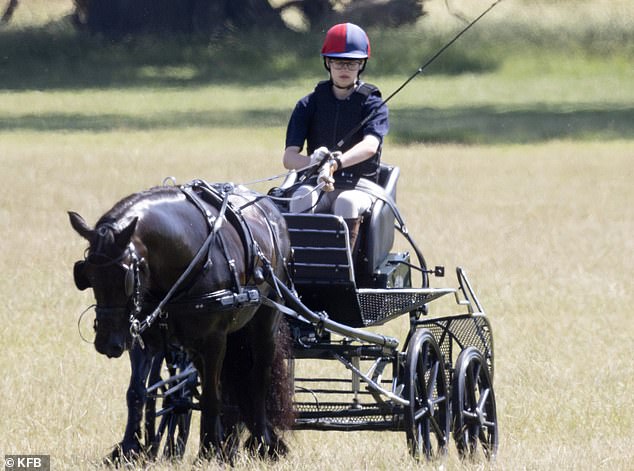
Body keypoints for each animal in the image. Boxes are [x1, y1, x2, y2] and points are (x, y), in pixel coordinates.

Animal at [68, 183, 296, 462]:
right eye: (87, 274)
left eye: (126, 275)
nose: (107, 343)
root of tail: (271, 208)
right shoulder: (143, 336)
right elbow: (137, 392)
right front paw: (128, 449)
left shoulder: (214, 338)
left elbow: (211, 396)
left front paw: (208, 451)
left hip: (265, 320)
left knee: (258, 376)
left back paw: (262, 443)